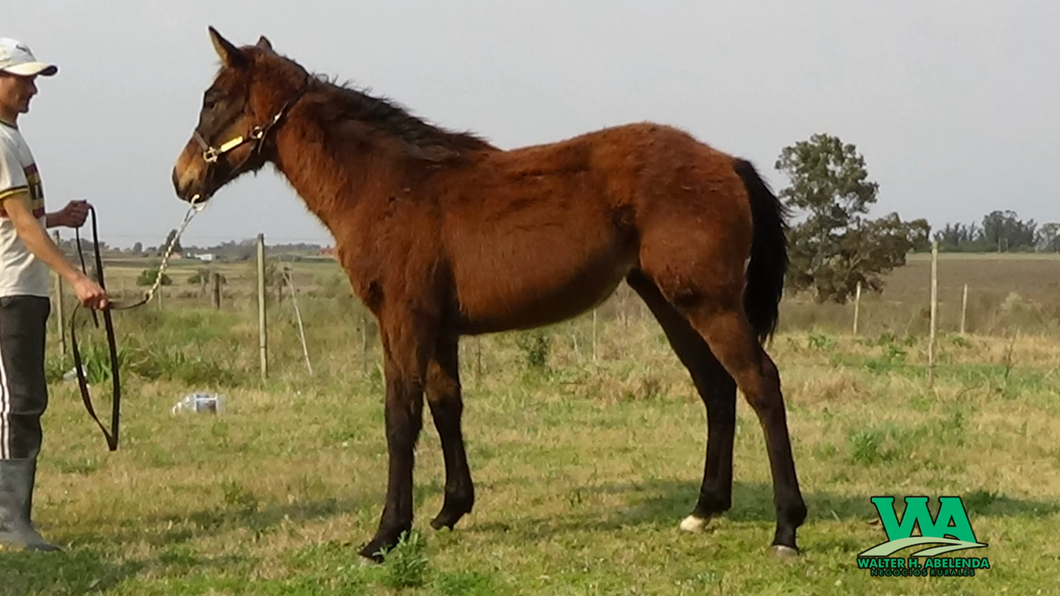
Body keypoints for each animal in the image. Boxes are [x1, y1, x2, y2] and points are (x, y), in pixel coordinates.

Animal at [171, 27, 801, 559]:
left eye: (213, 98)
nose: (181, 179)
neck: (388, 186)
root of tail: (728, 162)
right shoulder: (439, 327)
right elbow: (446, 406)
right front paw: (450, 510)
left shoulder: (402, 319)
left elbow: (400, 417)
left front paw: (385, 534)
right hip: (671, 303)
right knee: (716, 388)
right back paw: (704, 510)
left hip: (709, 303)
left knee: (760, 383)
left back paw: (786, 528)